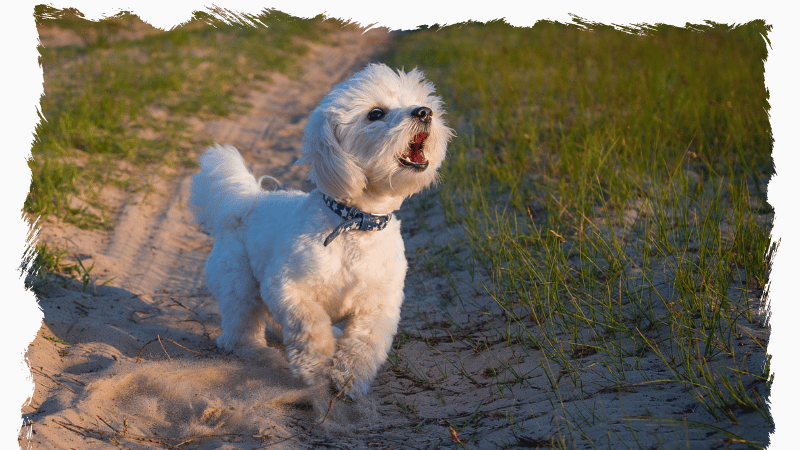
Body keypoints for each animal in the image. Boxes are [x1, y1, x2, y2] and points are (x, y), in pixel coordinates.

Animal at [188, 64, 450, 398]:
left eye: (421, 102)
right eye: (376, 114)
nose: (425, 112)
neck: (357, 222)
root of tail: (248, 200)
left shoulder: (378, 306)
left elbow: (364, 344)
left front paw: (349, 379)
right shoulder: (289, 289)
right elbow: (310, 328)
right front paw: (314, 368)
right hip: (240, 285)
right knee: (239, 332)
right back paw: (258, 353)